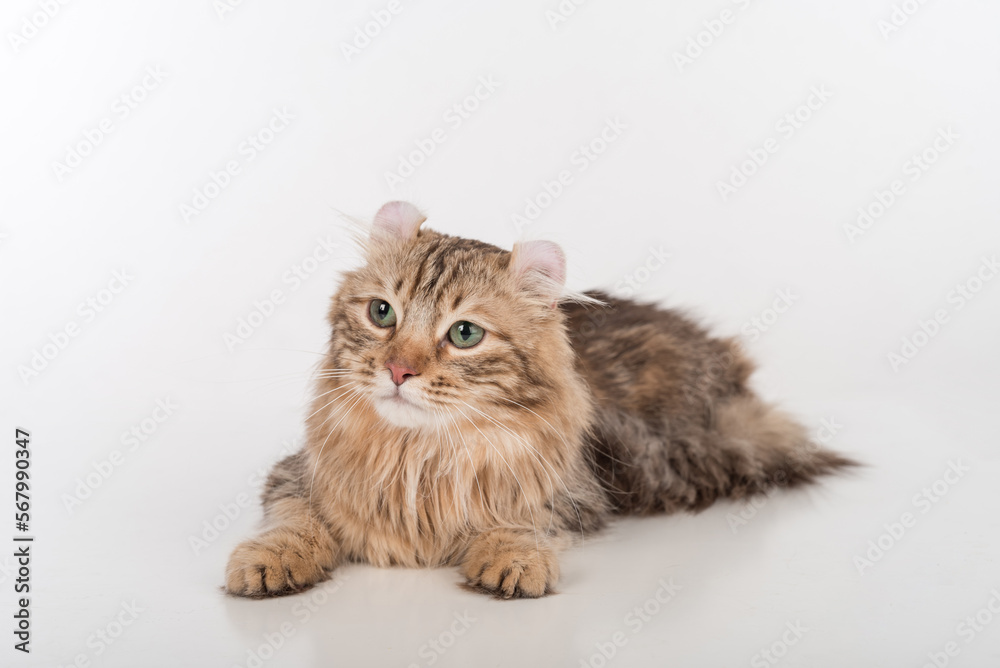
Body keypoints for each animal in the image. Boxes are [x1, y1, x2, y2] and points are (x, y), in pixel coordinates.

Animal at [223, 201, 856, 596]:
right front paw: (269, 560)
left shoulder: (580, 490)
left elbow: (523, 520)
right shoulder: (294, 474)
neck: (418, 455)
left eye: (465, 334)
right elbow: (293, 518)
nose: (398, 370)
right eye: (382, 313)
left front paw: (511, 559)